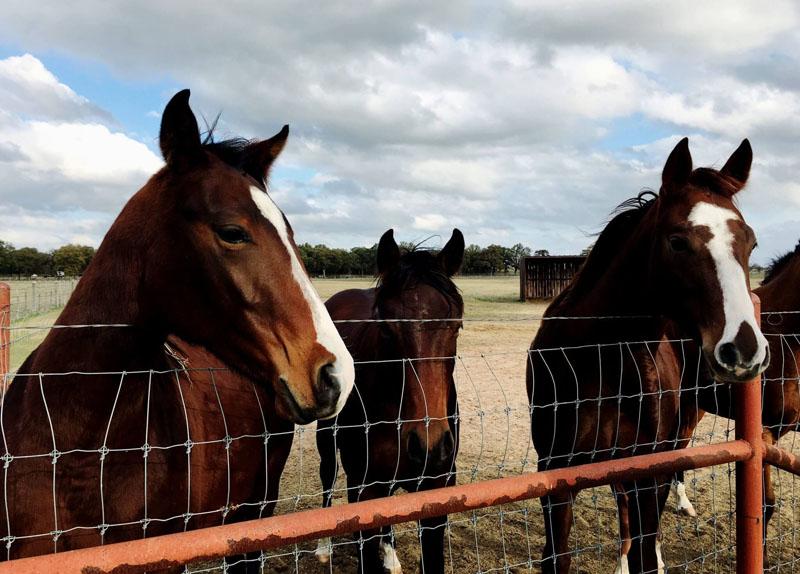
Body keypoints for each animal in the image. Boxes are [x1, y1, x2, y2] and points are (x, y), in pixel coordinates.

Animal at [312, 230, 462, 574]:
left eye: (457, 326)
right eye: (385, 327)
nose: (429, 447)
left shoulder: (436, 489)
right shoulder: (365, 488)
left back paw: (390, 553)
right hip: (327, 438)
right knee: (328, 476)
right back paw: (325, 546)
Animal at [524, 140, 768, 574]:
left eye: (751, 243)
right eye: (677, 241)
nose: (743, 350)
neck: (597, 360)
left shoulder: (647, 472)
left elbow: (645, 550)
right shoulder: (555, 476)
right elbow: (559, 558)